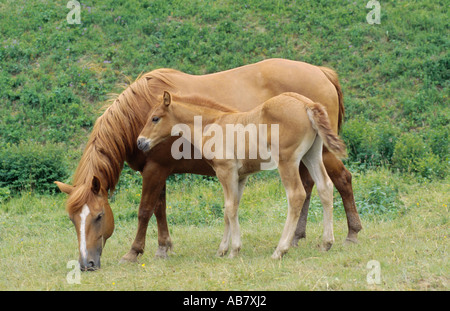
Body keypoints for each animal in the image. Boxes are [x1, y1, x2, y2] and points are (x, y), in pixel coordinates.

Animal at [55, 58, 362, 270]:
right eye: (72, 219)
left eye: (99, 216)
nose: (87, 264)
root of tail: (321, 73)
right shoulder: (169, 170)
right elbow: (164, 209)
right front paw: (165, 247)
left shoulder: (158, 170)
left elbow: (145, 211)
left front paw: (134, 252)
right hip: (308, 156)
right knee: (318, 187)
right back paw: (308, 239)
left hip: (307, 157)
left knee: (333, 182)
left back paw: (343, 235)